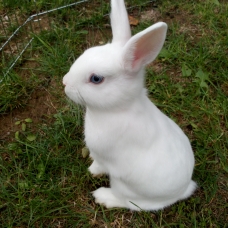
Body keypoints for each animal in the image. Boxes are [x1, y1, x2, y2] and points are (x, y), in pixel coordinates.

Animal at [62, 0, 196, 210]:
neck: (116, 109)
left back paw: (103, 197)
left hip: (122, 185)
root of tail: (182, 190)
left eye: (96, 78)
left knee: (128, 203)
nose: (65, 83)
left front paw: (92, 170)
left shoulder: (103, 155)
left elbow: (99, 164)